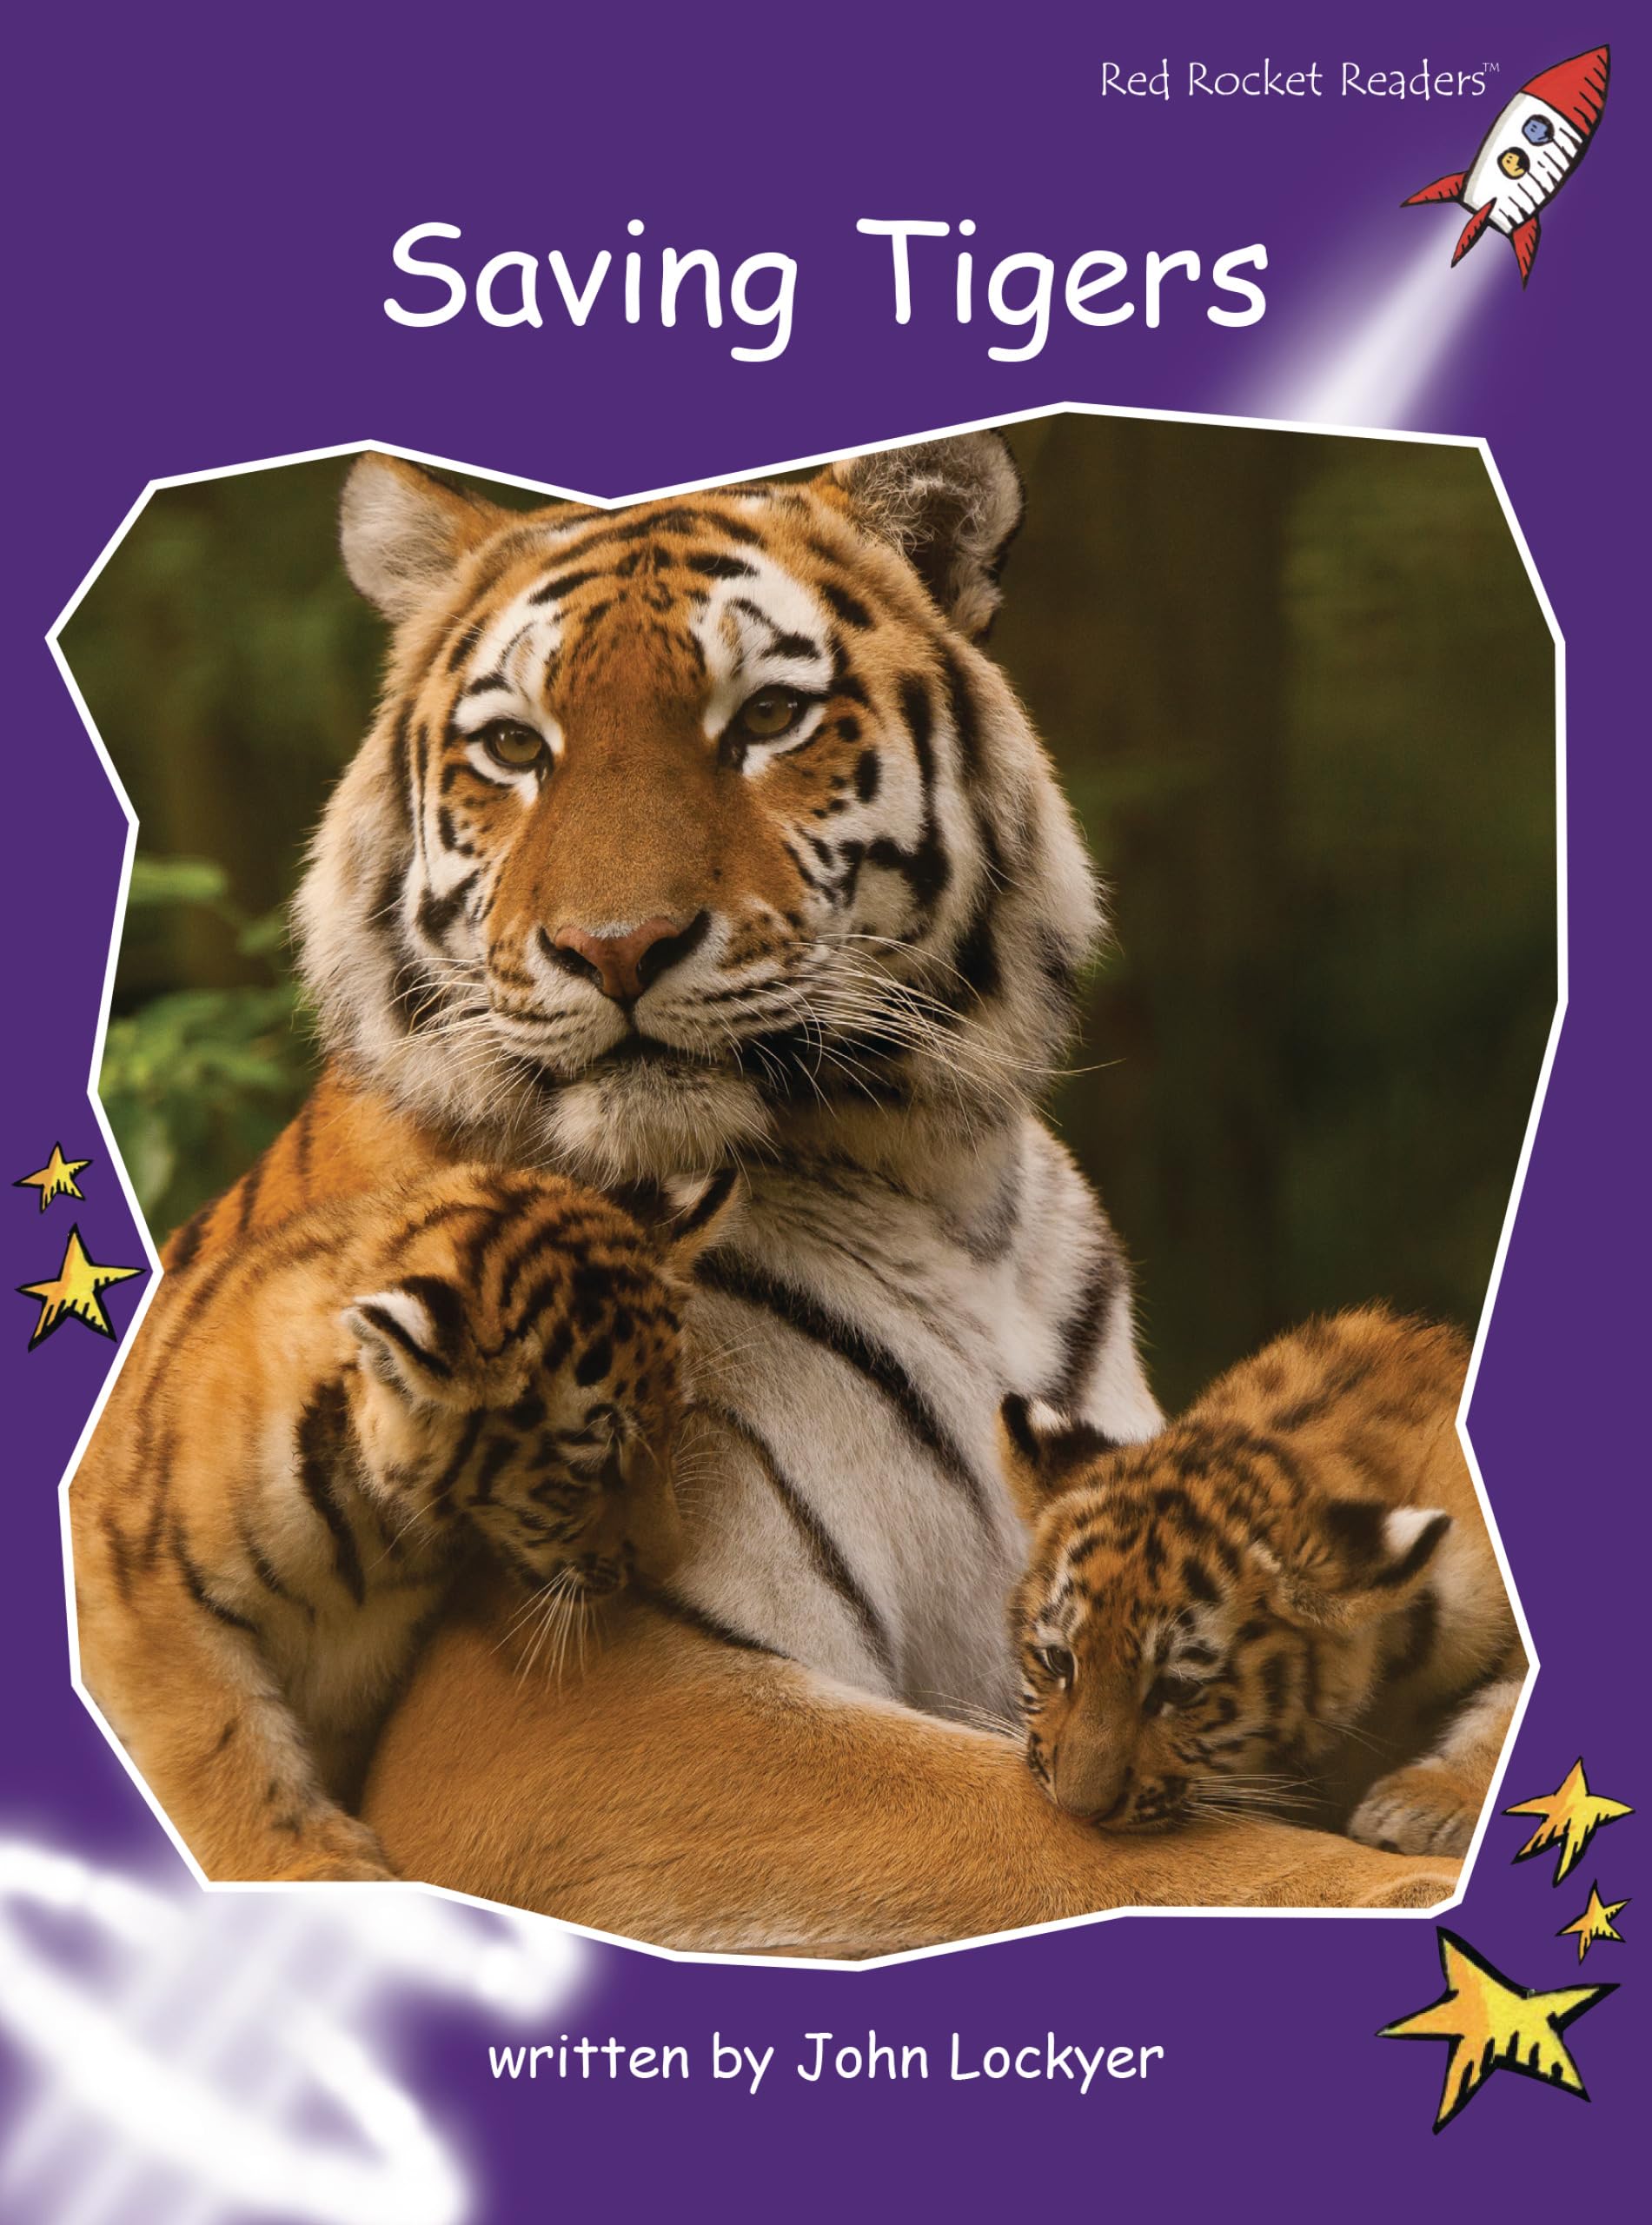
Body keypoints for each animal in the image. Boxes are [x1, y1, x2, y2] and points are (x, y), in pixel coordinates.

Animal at [70, 1163, 731, 1882]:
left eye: (676, 1422)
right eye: (591, 1465)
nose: (668, 1562)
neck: (368, 1537)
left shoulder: (359, 1665)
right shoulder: (144, 1592)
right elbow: (220, 1739)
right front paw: (313, 1865)